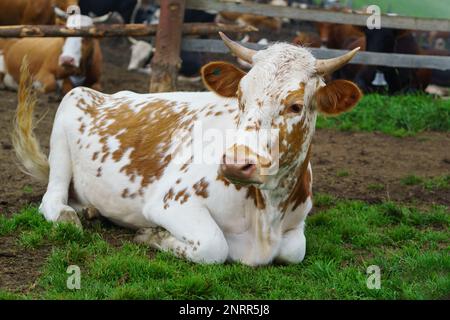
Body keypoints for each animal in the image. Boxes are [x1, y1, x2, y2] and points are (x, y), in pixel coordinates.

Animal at [13, 33, 362, 268]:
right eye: (240, 96)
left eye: (296, 105)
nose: (236, 163)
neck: (267, 216)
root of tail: (110, 93)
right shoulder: (171, 203)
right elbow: (213, 247)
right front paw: (152, 235)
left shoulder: (297, 225)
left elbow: (294, 252)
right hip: (65, 126)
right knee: (53, 199)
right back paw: (69, 214)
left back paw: (90, 209)